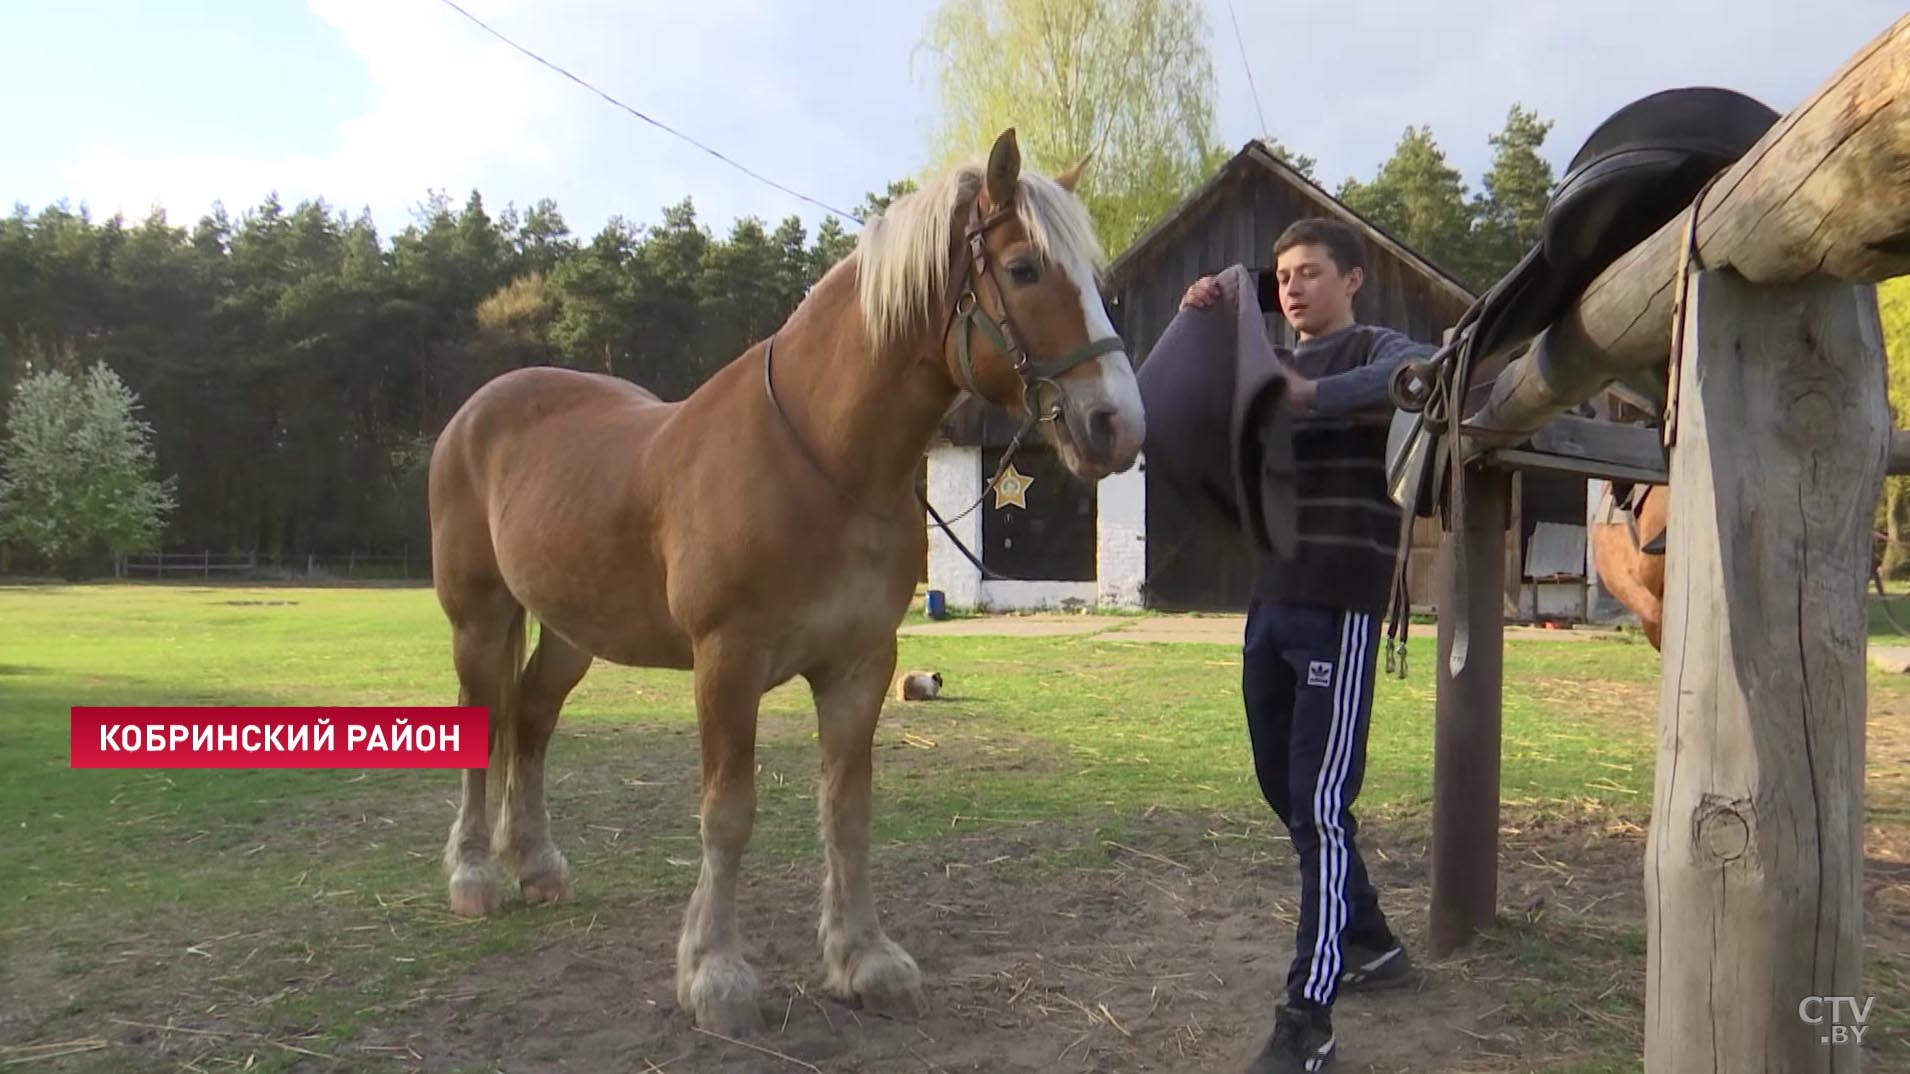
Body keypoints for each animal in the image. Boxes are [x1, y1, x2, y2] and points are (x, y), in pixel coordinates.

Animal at [425, 129, 1138, 1031]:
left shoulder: (860, 664)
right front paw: (715, 974)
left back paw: (539, 865)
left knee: (533, 720)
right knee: (485, 719)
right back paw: (475, 876)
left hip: (568, 632)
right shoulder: (726, 663)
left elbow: (848, 810)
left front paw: (864, 958)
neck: (822, 459)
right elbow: (728, 814)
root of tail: (473, 412)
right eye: (1024, 269)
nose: (1117, 424)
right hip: (478, 617)